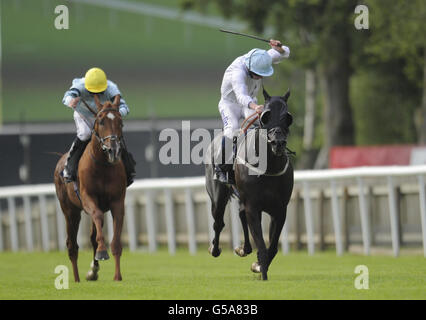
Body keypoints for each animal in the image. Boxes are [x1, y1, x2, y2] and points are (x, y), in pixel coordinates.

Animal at [54, 94, 126, 282]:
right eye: (100, 121)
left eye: (120, 122)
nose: (113, 150)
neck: (102, 166)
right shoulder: (88, 199)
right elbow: (98, 217)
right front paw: (102, 252)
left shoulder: (117, 202)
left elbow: (115, 241)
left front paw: (117, 276)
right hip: (70, 210)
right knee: (72, 244)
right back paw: (77, 279)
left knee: (93, 236)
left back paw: (92, 271)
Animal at [206, 87, 292, 280]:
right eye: (265, 116)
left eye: (288, 117)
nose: (278, 143)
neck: (268, 168)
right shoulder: (254, 206)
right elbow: (261, 243)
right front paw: (262, 270)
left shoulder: (280, 210)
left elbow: (272, 246)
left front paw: (258, 265)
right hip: (217, 196)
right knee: (218, 222)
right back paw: (214, 248)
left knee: (240, 215)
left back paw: (244, 249)